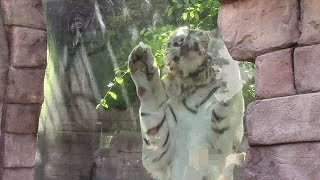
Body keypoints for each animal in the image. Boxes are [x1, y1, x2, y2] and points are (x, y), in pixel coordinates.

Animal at [129, 27, 244, 180]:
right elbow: (151, 113)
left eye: (194, 31)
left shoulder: (222, 144)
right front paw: (140, 60)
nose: (179, 41)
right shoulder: (159, 156)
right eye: (171, 43)